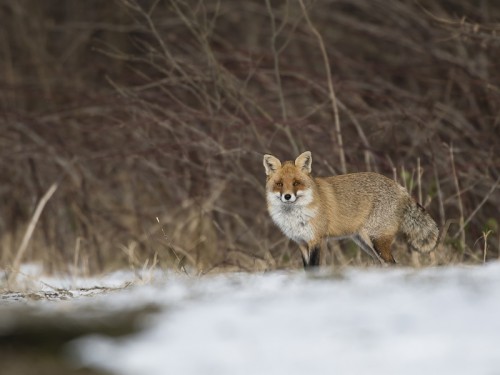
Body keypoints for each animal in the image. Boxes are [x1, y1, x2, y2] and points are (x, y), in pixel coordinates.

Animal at [264, 151, 440, 268]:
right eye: (279, 184)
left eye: (296, 183)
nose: (287, 196)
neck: (296, 217)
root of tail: (400, 187)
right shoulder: (301, 242)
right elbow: (307, 269)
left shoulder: (316, 240)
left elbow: (314, 268)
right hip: (365, 243)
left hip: (375, 240)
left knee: (393, 264)